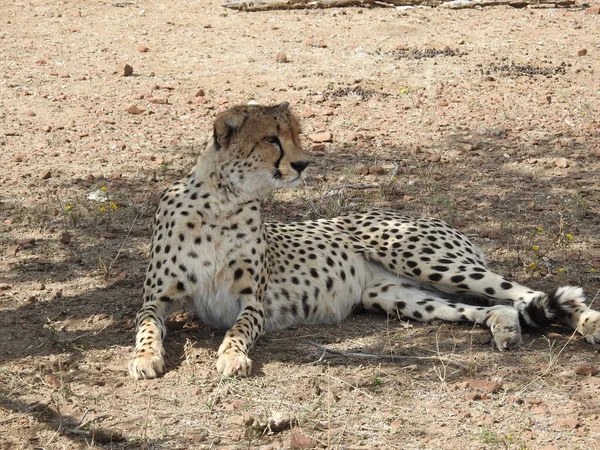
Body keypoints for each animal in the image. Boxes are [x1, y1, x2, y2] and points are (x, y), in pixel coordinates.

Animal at [129, 103, 600, 380]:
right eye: (270, 139)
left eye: (297, 135)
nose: (303, 163)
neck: (222, 202)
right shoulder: (158, 299)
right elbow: (146, 327)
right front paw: (144, 357)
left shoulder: (252, 302)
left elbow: (238, 330)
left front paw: (231, 356)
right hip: (395, 296)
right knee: (496, 306)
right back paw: (505, 328)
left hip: (425, 259)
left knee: (525, 291)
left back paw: (590, 325)